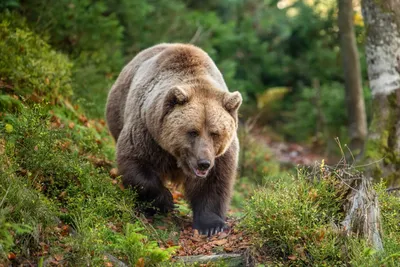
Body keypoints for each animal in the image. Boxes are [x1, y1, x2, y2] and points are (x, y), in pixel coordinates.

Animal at [105, 43, 241, 237]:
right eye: (193, 131)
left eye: (215, 133)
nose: (203, 163)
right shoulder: (148, 133)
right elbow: (135, 163)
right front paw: (165, 201)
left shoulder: (221, 155)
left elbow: (214, 182)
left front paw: (211, 225)